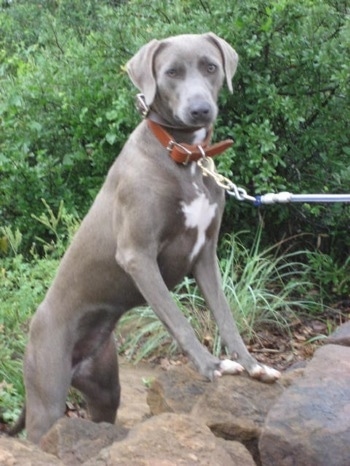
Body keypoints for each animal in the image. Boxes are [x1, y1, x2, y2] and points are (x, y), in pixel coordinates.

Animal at [17, 33, 282, 444]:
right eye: (171, 72)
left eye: (210, 66)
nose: (200, 110)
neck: (184, 157)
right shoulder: (138, 256)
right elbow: (179, 320)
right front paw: (213, 366)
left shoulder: (205, 256)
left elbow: (226, 317)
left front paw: (253, 366)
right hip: (47, 394)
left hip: (106, 389)